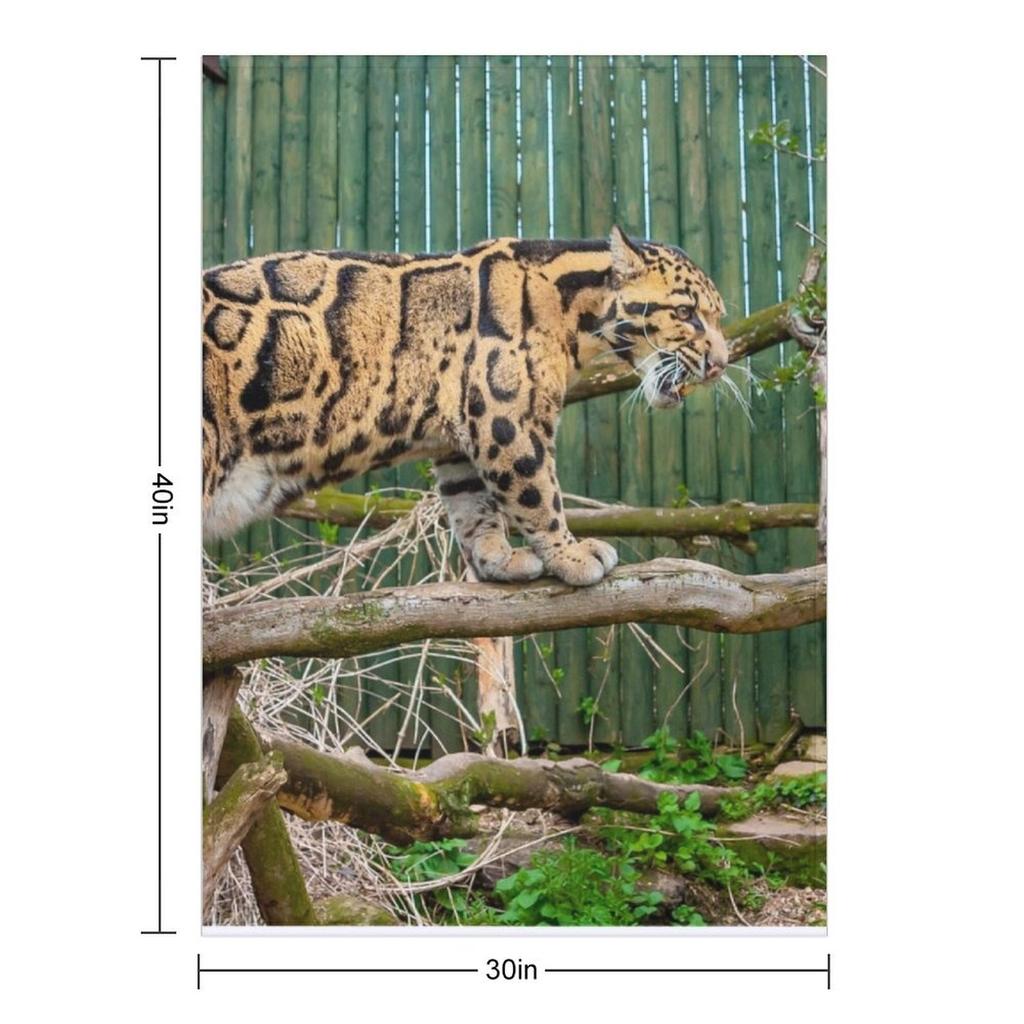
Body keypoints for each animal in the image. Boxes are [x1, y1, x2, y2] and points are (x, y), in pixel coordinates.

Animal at [202, 226, 728, 586]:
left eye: (719, 317)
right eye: (685, 313)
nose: (721, 362)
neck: (575, 313)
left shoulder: (461, 436)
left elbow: (474, 505)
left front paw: (499, 558)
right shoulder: (508, 417)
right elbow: (538, 493)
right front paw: (572, 555)